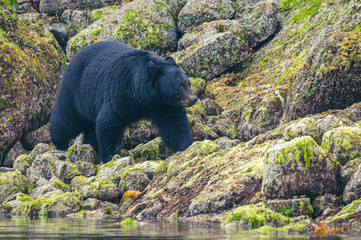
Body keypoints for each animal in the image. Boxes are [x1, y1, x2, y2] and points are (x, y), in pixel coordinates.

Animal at [50, 41, 197, 163]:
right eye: (179, 86)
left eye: (188, 83)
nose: (193, 99)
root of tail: (72, 59)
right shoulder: (120, 94)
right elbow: (109, 123)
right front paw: (110, 156)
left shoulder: (164, 105)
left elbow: (174, 123)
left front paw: (184, 146)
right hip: (75, 92)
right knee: (67, 120)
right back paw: (59, 144)